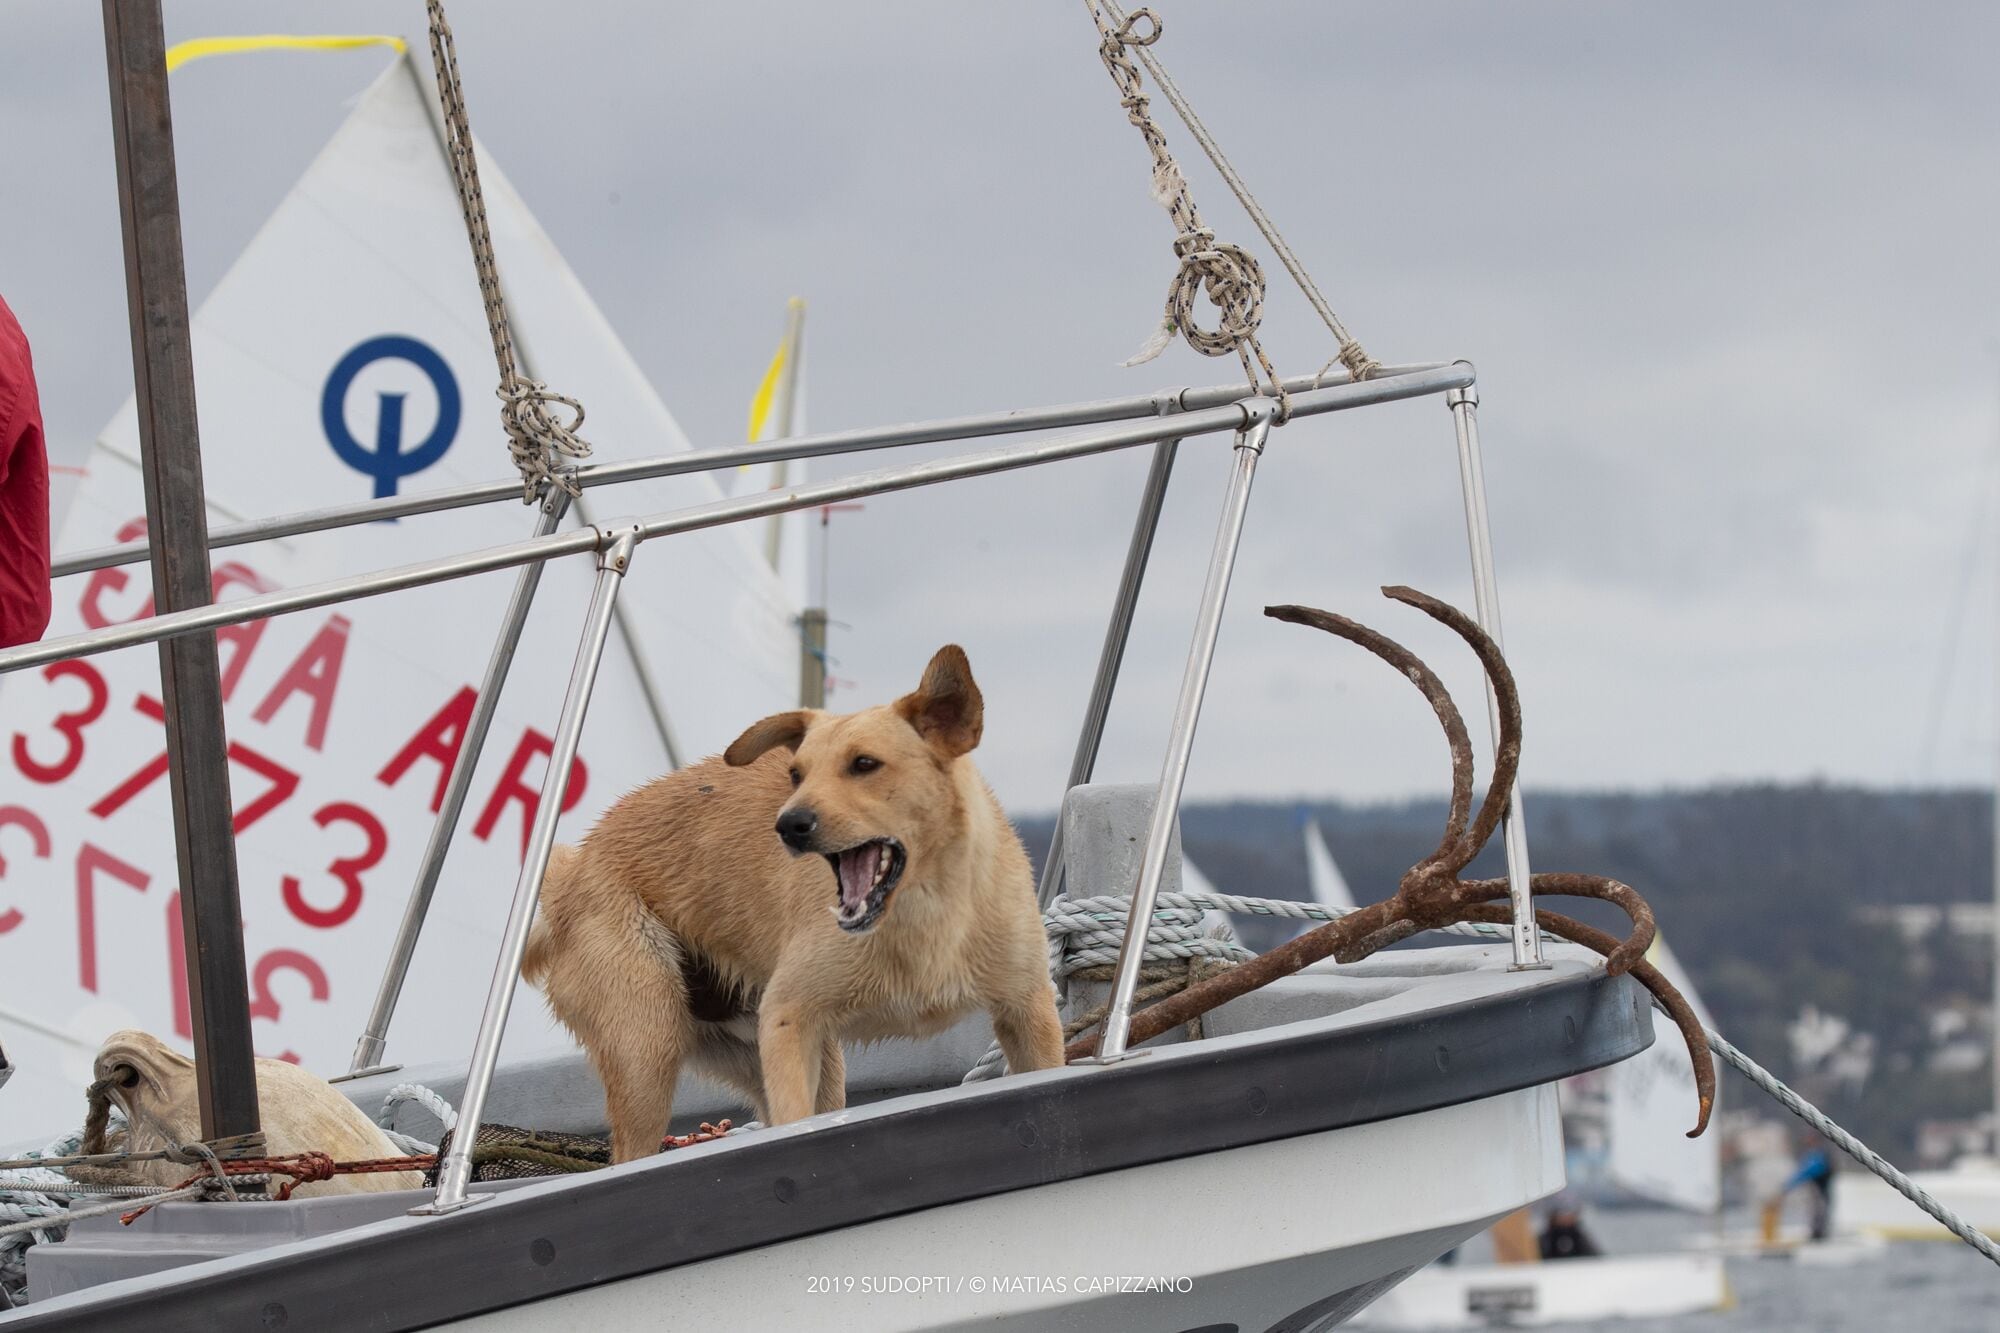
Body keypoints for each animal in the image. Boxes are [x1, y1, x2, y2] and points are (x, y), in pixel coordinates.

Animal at [524, 640, 1072, 1152]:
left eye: (865, 764)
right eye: (795, 774)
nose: (788, 824)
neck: (921, 914)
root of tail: (574, 869)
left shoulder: (1028, 1012)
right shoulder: (788, 1019)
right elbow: (794, 1119)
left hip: (779, 1056)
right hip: (650, 1050)